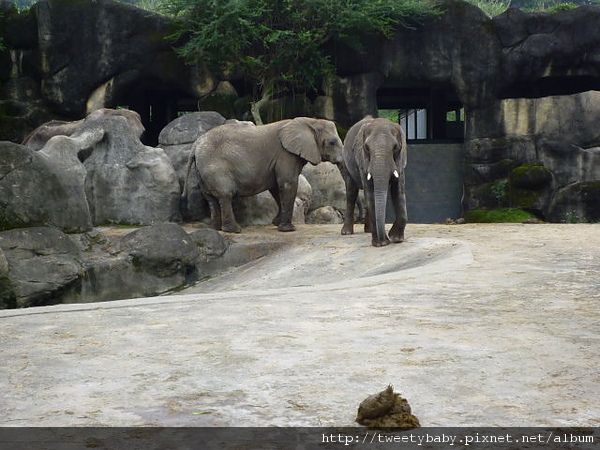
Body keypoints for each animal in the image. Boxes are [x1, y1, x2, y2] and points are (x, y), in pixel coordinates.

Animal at [182, 116, 342, 232]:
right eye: (332, 142)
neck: (310, 121)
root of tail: (195, 146)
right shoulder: (285, 154)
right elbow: (287, 183)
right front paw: (288, 229)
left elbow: (276, 187)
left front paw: (276, 223)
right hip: (215, 168)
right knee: (225, 195)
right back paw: (234, 230)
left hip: (203, 170)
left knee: (211, 198)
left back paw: (215, 229)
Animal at [342, 116, 408, 246]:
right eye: (367, 148)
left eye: (395, 147)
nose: (387, 239)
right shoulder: (362, 160)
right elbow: (370, 192)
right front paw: (380, 244)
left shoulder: (400, 160)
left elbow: (398, 190)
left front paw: (396, 239)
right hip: (346, 165)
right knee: (351, 193)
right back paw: (346, 233)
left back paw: (368, 231)